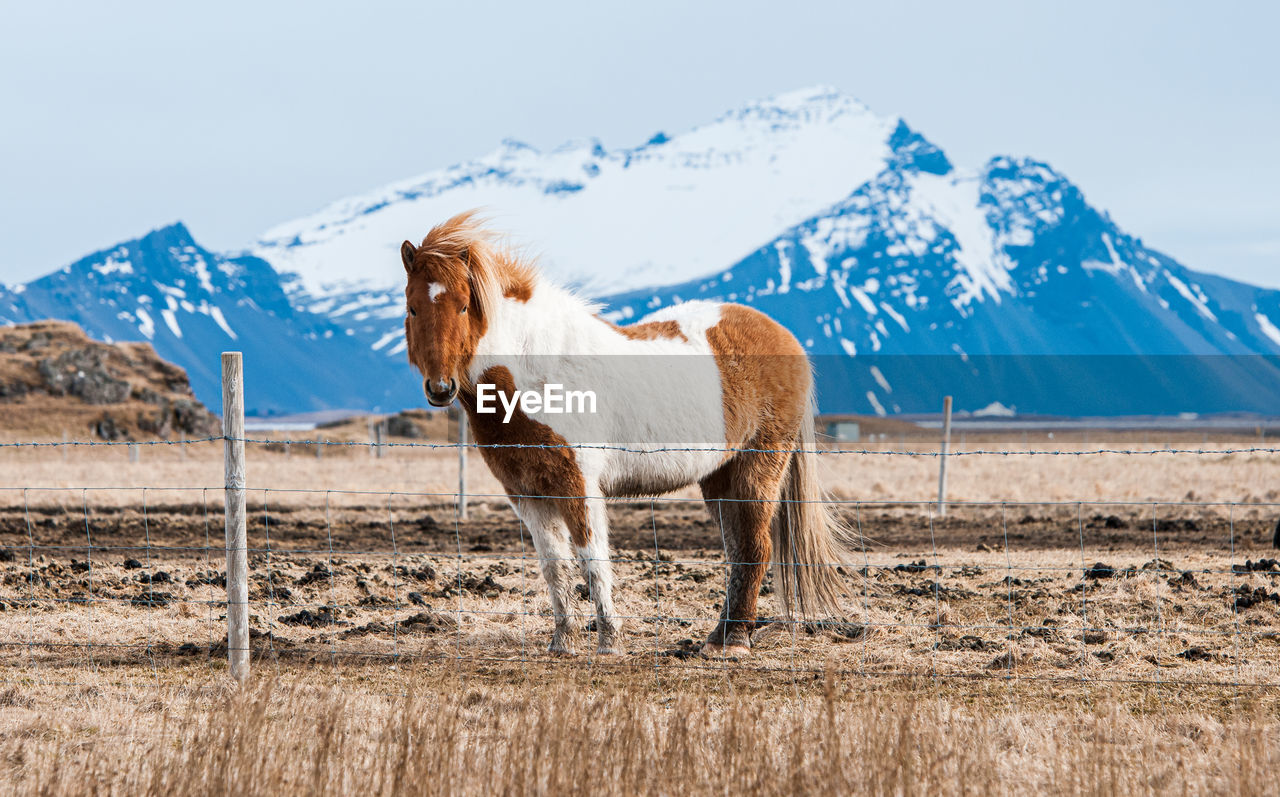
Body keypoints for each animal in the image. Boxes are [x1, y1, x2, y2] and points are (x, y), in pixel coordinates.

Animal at [399, 211, 855, 654]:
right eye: (413, 308)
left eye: (463, 307)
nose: (440, 388)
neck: (538, 373)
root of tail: (785, 337)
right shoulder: (527, 494)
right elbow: (554, 566)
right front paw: (562, 643)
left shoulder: (578, 485)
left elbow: (592, 560)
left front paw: (609, 642)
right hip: (719, 477)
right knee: (738, 549)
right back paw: (717, 638)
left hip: (757, 469)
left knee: (755, 548)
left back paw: (735, 642)